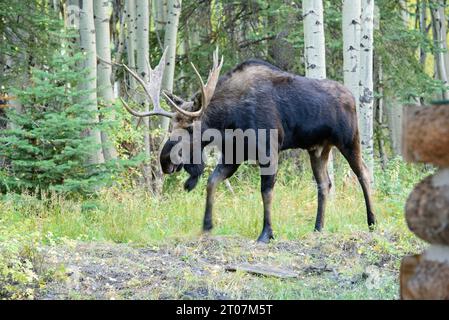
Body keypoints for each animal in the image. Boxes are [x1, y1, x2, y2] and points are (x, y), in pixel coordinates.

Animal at [118, 48, 374, 242]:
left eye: (190, 128)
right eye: (171, 127)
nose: (165, 160)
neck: (229, 120)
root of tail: (351, 96)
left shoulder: (269, 151)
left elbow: (266, 192)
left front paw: (266, 233)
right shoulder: (234, 155)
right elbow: (212, 182)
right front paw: (207, 225)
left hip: (349, 140)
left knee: (364, 174)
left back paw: (372, 221)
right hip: (318, 148)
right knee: (324, 184)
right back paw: (318, 227)